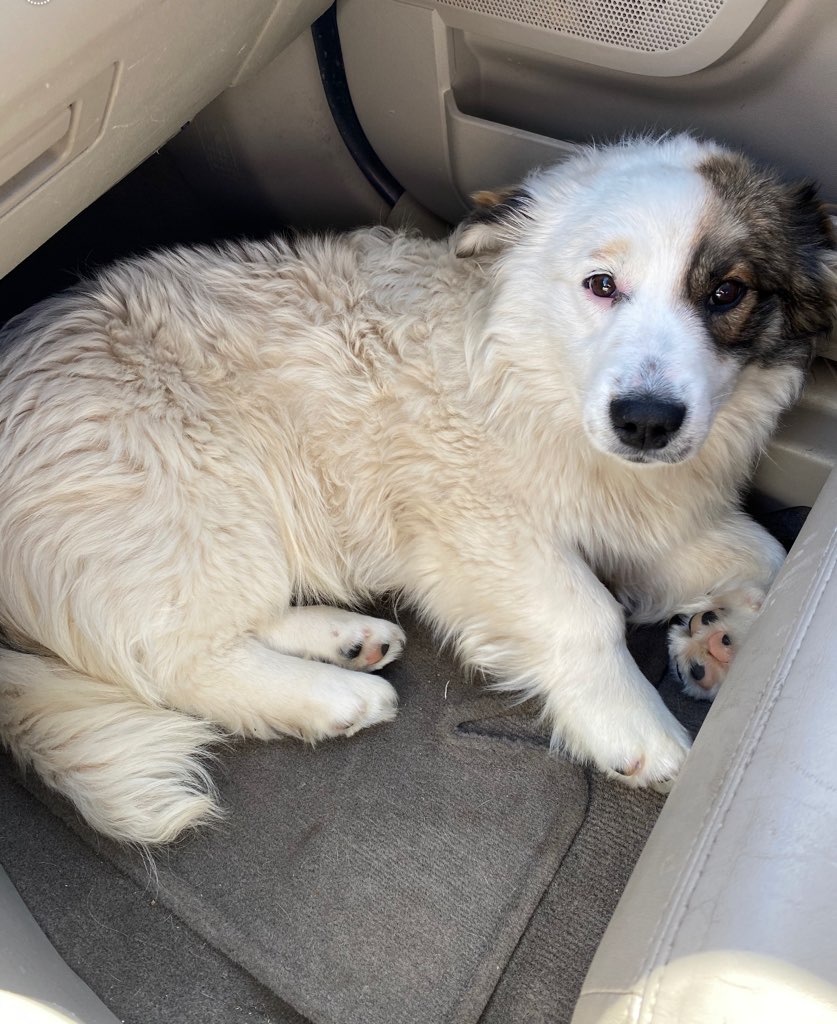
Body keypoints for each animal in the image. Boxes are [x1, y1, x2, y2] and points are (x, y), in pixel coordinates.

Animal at [0, 134, 831, 839]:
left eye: (726, 293)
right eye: (601, 285)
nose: (646, 423)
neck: (528, 382)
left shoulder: (651, 516)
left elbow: (768, 556)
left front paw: (722, 640)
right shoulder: (475, 520)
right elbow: (583, 614)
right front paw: (633, 723)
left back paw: (344, 640)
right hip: (201, 501)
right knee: (167, 659)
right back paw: (336, 697)